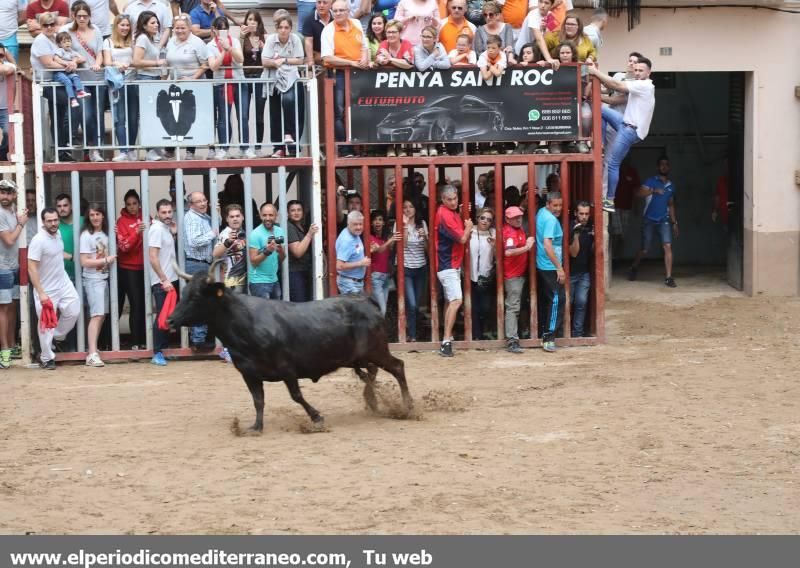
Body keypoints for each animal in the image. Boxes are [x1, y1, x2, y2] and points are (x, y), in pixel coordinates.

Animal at [170, 264, 416, 432]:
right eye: (184, 293)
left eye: (196, 296)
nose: (171, 320)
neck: (245, 323)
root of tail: (365, 300)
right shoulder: (249, 374)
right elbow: (258, 400)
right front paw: (256, 426)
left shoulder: (287, 368)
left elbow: (296, 395)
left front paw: (316, 417)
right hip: (359, 357)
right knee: (372, 372)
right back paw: (372, 401)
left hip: (378, 350)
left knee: (398, 366)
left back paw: (408, 406)